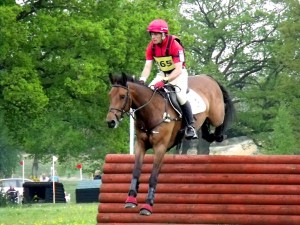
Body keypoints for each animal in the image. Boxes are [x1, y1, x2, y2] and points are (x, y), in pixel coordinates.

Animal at [105, 73, 234, 215]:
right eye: (110, 95)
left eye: (122, 96)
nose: (110, 122)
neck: (151, 111)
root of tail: (208, 77)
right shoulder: (140, 145)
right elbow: (136, 171)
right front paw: (131, 199)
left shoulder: (160, 147)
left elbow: (153, 176)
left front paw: (148, 205)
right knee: (205, 129)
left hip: (216, 114)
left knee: (222, 115)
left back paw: (218, 135)